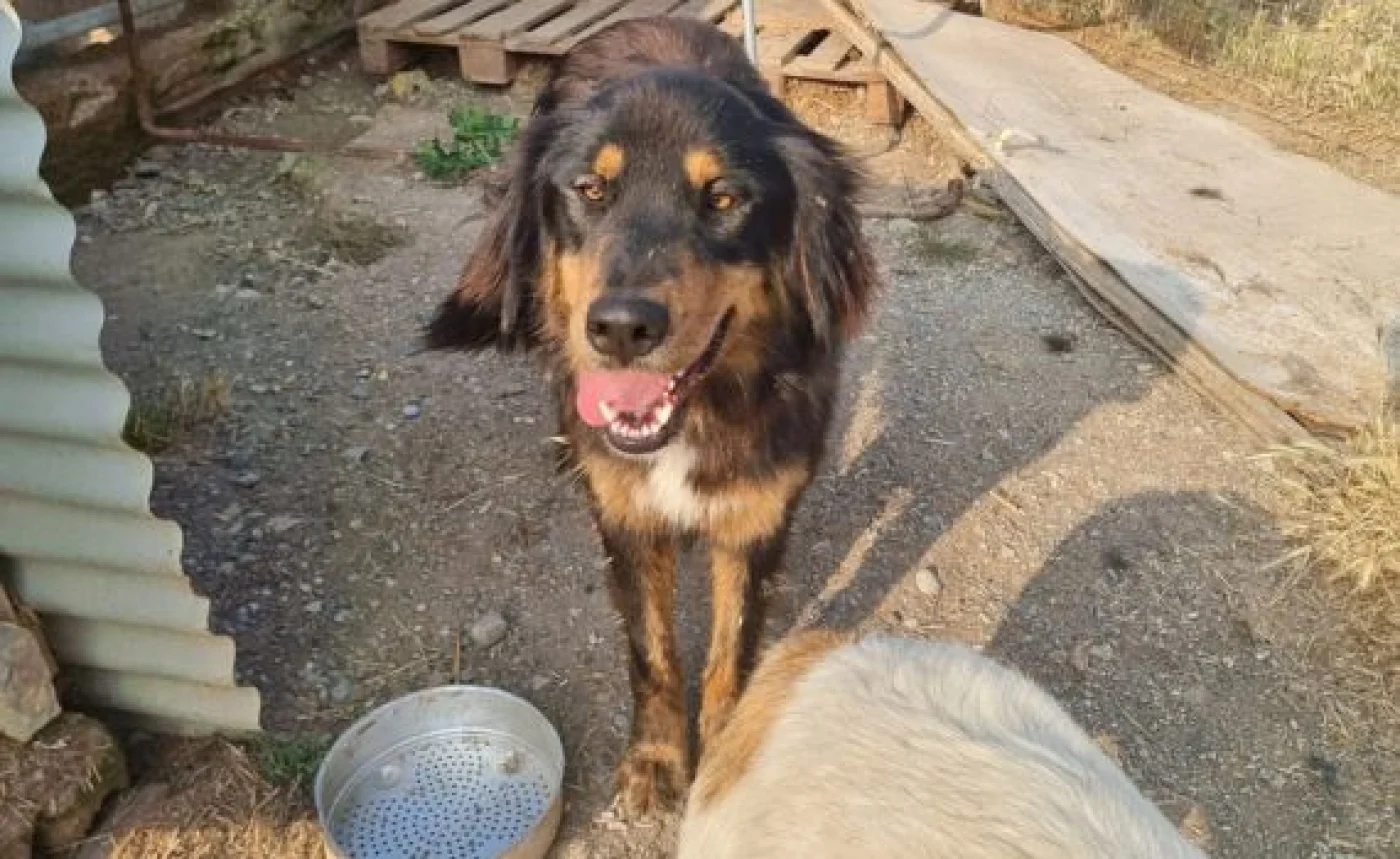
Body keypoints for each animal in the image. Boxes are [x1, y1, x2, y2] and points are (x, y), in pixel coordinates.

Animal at [423, 17, 878, 814]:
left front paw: (721, 758)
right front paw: (658, 760)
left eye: (723, 198)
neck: (693, 421)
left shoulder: (756, 521)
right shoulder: (627, 521)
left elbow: (731, 655)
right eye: (589, 188)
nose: (622, 328)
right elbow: (654, 653)